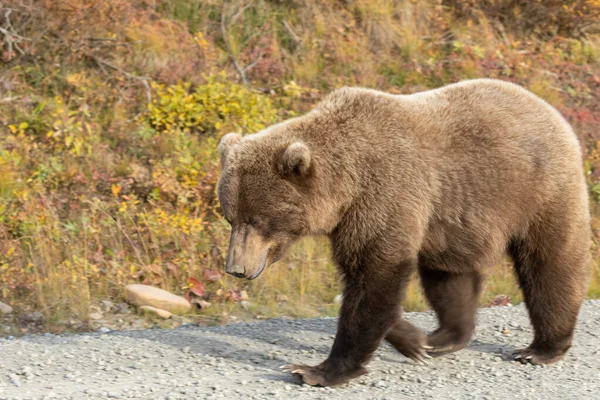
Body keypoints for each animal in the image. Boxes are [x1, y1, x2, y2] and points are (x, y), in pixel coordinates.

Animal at [217, 79, 592, 388]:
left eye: (256, 219)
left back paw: (541, 348)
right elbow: (370, 281)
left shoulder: (385, 194)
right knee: (448, 275)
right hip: (454, 221)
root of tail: (551, 111)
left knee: (550, 265)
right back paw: (444, 338)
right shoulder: (359, 216)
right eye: (230, 217)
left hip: (538, 190)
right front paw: (413, 340)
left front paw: (317, 370)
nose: (236, 268)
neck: (347, 185)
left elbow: (376, 274)